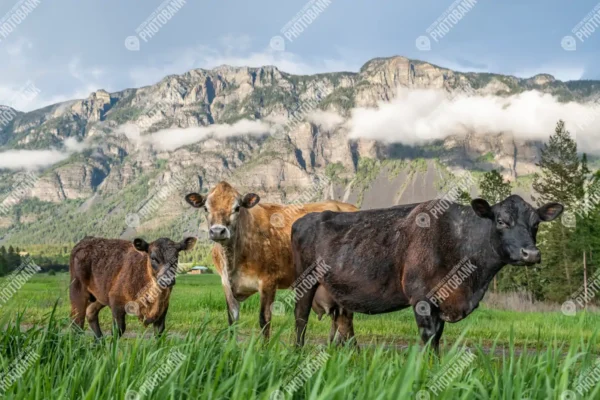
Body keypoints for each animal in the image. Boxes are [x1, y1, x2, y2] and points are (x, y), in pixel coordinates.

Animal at [185, 181, 358, 340]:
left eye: (237, 208)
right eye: (206, 208)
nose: (217, 231)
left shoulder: (268, 281)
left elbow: (264, 319)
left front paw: (264, 348)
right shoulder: (226, 284)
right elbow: (232, 320)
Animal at [292, 195, 564, 352]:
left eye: (536, 223)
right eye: (501, 221)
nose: (531, 253)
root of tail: (305, 218)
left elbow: (438, 338)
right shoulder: (422, 298)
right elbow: (428, 337)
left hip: (339, 293)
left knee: (343, 323)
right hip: (304, 284)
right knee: (301, 318)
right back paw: (297, 352)